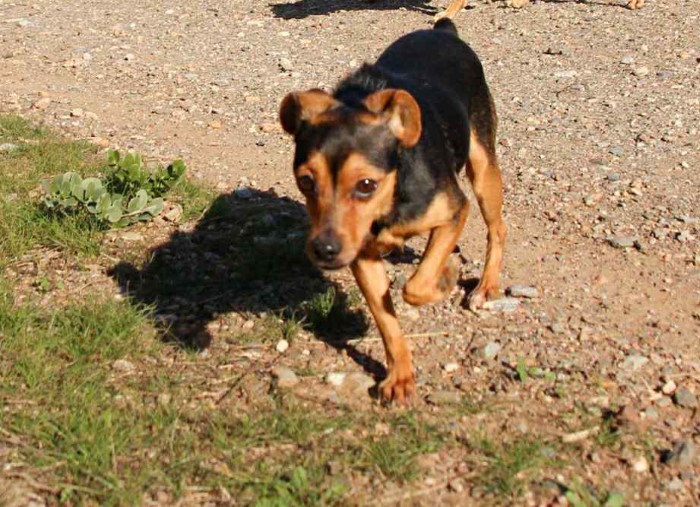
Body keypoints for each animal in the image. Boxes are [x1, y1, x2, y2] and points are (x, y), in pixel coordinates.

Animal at [279, 15, 505, 404]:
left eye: (366, 185)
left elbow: (416, 286)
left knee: (497, 228)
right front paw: (400, 376)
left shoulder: (453, 211)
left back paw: (485, 286)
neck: (389, 201)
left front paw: (445, 278)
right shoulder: (361, 256)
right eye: (305, 181)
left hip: (482, 167)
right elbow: (386, 319)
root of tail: (444, 30)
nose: (324, 250)